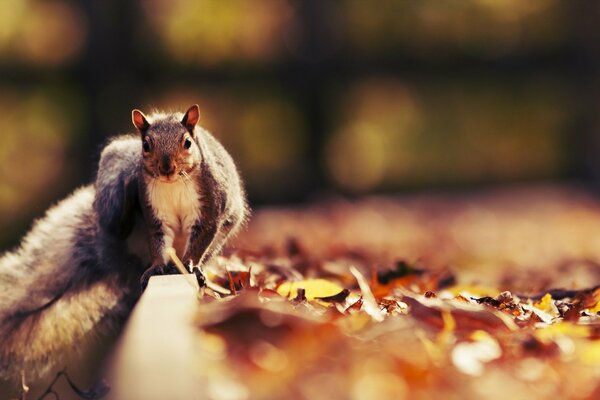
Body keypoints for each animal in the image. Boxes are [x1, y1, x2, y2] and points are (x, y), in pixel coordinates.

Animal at [0, 105, 248, 384]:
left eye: (187, 143)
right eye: (146, 145)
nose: (166, 168)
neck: (173, 183)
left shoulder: (210, 206)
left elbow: (202, 235)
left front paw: (190, 266)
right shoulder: (155, 214)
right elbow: (158, 242)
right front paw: (156, 267)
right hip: (112, 202)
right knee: (120, 222)